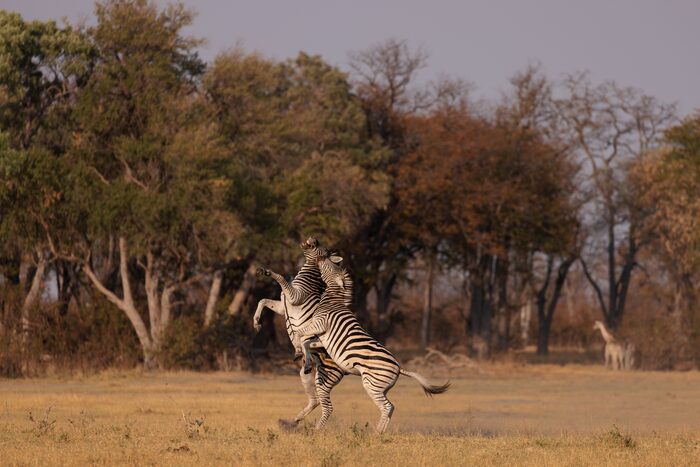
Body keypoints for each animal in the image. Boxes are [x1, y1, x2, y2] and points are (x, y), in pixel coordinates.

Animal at [253, 237, 347, 429]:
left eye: (321, 248)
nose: (313, 238)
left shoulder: (293, 297)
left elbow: (280, 277)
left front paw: (267, 271)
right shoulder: (283, 306)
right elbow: (263, 300)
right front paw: (256, 322)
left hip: (326, 377)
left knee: (324, 404)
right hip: (307, 374)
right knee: (315, 400)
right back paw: (292, 421)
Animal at [261, 247, 450, 433]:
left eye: (328, 265)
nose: (322, 257)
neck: (331, 301)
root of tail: (399, 368)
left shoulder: (319, 323)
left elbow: (300, 334)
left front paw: (298, 350)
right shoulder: (321, 335)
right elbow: (306, 340)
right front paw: (302, 355)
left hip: (367, 383)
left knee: (380, 407)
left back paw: (366, 433)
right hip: (380, 387)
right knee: (388, 407)